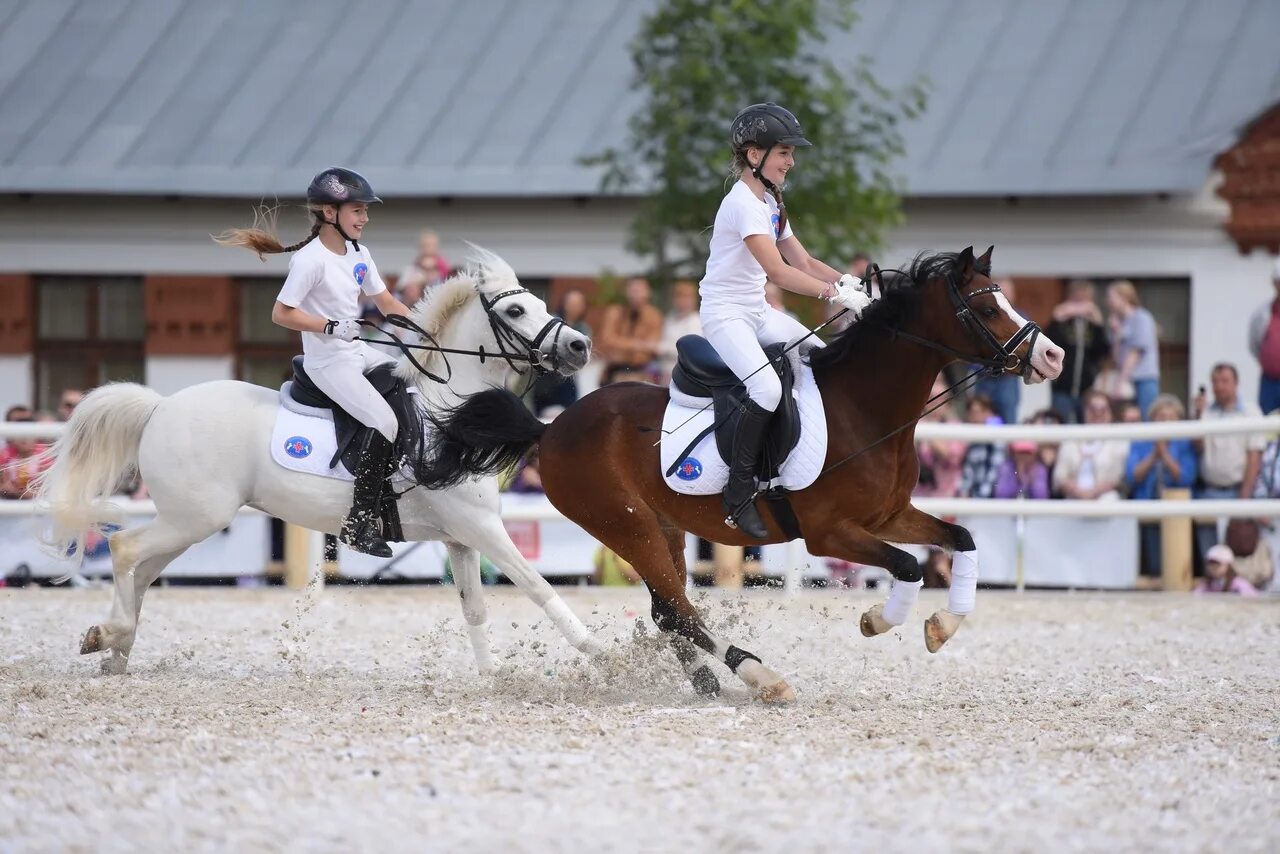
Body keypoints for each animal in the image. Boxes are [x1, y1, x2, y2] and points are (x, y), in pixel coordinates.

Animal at [33, 247, 604, 676]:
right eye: (514, 312)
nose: (580, 346)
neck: (449, 411)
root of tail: (160, 406)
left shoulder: (462, 539)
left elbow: (475, 609)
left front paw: (491, 677)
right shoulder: (480, 528)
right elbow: (536, 585)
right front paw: (603, 653)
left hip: (186, 521)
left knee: (141, 570)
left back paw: (114, 650)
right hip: (197, 517)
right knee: (125, 549)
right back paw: (111, 636)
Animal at [417, 247, 1059, 701]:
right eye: (984, 307)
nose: (1052, 357)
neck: (867, 410)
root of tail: (549, 428)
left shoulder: (889, 516)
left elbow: (961, 538)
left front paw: (941, 627)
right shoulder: (830, 533)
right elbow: (908, 565)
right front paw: (879, 620)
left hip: (663, 528)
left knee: (668, 608)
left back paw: (707, 683)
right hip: (626, 525)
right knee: (678, 609)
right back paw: (760, 677)